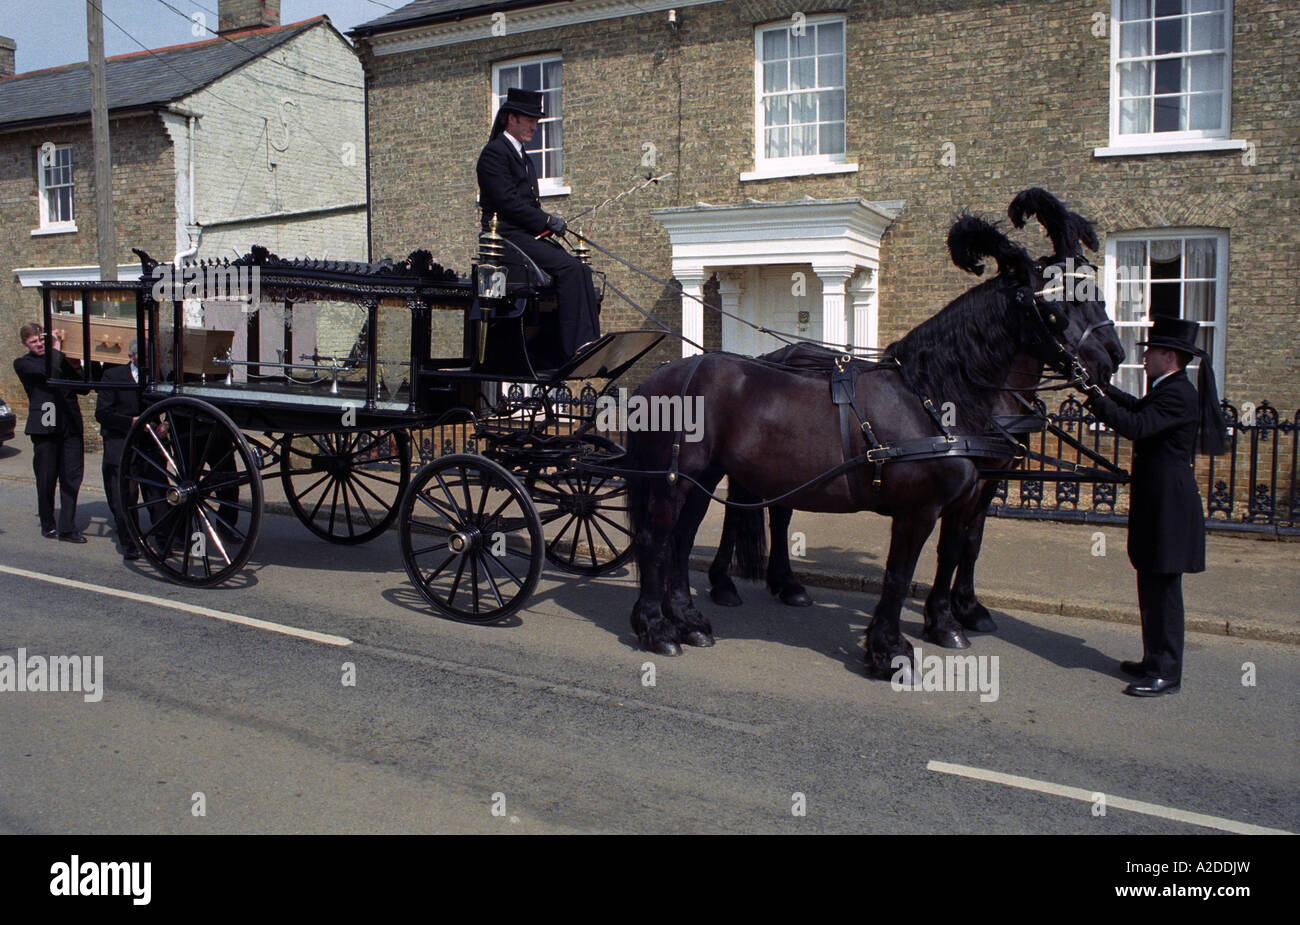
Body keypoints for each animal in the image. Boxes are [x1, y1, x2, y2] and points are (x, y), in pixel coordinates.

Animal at [624, 190, 1123, 675]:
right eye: (1059, 304)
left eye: (1096, 291)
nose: (1113, 356)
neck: (936, 394)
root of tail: (659, 379)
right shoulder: (919, 508)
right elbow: (899, 573)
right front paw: (890, 650)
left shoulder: (969, 493)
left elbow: (956, 550)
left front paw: (947, 621)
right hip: (672, 480)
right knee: (654, 540)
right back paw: (658, 627)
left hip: (703, 478)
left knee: (683, 540)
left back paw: (691, 619)